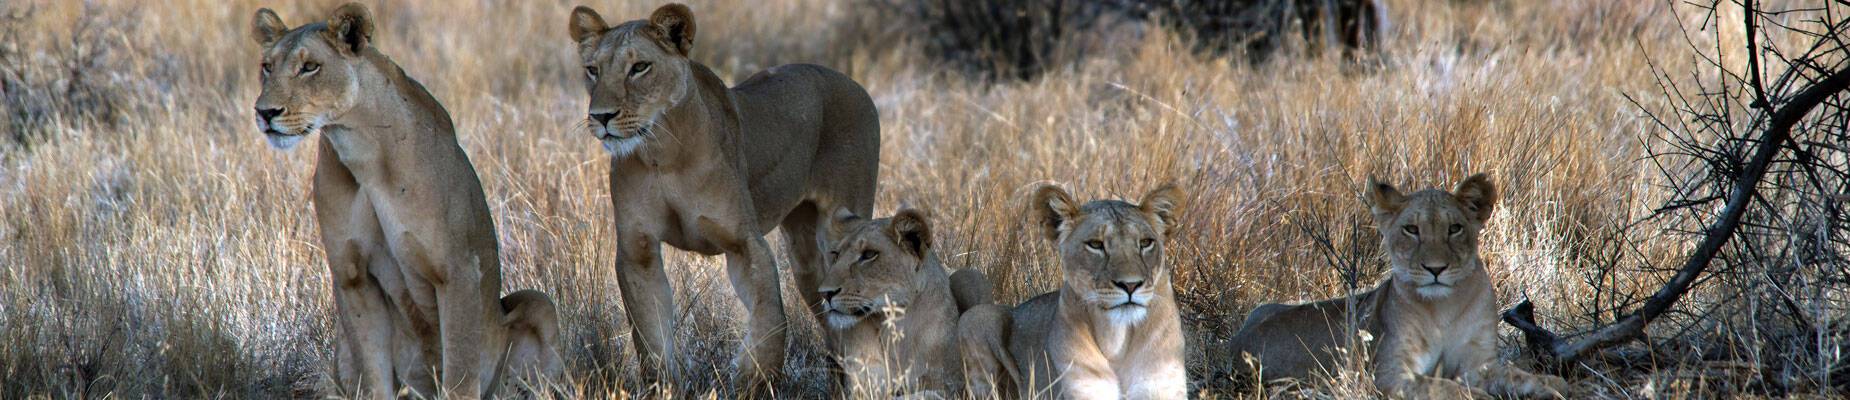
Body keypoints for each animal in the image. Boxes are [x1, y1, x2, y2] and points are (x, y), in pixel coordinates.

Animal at [251, 4, 561, 397]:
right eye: (267, 66)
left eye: (310, 67)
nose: (265, 113)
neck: (362, 150)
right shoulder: (353, 277)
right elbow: (375, 374)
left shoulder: (458, 268)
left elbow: (460, 373)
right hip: (340, 349)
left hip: (539, 304)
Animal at [563, 3, 881, 392]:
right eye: (592, 70)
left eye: (639, 67)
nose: (601, 117)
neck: (662, 152)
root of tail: (853, 83)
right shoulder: (637, 250)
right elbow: (651, 335)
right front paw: (664, 386)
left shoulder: (745, 242)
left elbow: (771, 315)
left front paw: (752, 376)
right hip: (807, 258)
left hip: (836, 236)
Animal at [817, 207, 995, 398]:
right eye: (836, 255)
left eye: (869, 254)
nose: (825, 293)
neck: (892, 325)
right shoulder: (862, 386)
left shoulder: (952, 385)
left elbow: (926, 394)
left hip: (970, 276)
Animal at [1226, 174, 1572, 398]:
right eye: (1411, 229)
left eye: (1455, 228)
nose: (1435, 269)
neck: (1443, 308)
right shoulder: (1390, 375)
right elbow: (1448, 388)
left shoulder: (1479, 363)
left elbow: (1518, 375)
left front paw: (1553, 385)